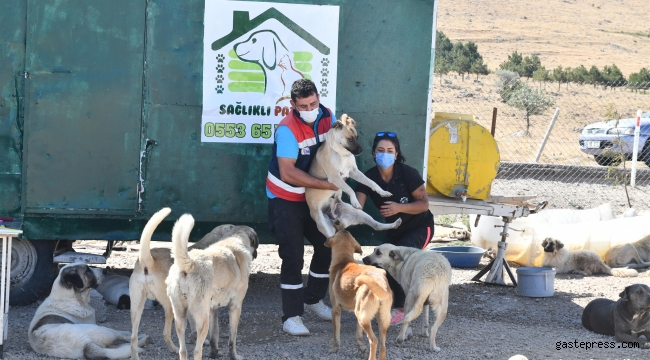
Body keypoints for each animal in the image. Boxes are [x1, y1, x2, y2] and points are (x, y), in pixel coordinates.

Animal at [128, 208, 237, 360]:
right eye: (231, 227)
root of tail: (148, 261)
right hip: (169, 306)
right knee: (166, 333)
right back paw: (174, 348)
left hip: (137, 306)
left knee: (133, 337)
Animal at [166, 214, 256, 360]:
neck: (234, 239)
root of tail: (190, 263)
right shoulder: (235, 307)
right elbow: (232, 338)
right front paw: (233, 356)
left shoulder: (213, 309)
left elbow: (215, 335)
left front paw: (214, 354)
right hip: (202, 320)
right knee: (197, 351)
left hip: (180, 317)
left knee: (183, 350)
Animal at [322, 231, 390, 360]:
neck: (344, 262)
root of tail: (379, 281)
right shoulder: (359, 314)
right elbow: (358, 334)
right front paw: (361, 348)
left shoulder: (336, 309)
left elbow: (336, 333)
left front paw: (334, 348)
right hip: (377, 319)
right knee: (383, 346)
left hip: (364, 318)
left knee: (374, 341)